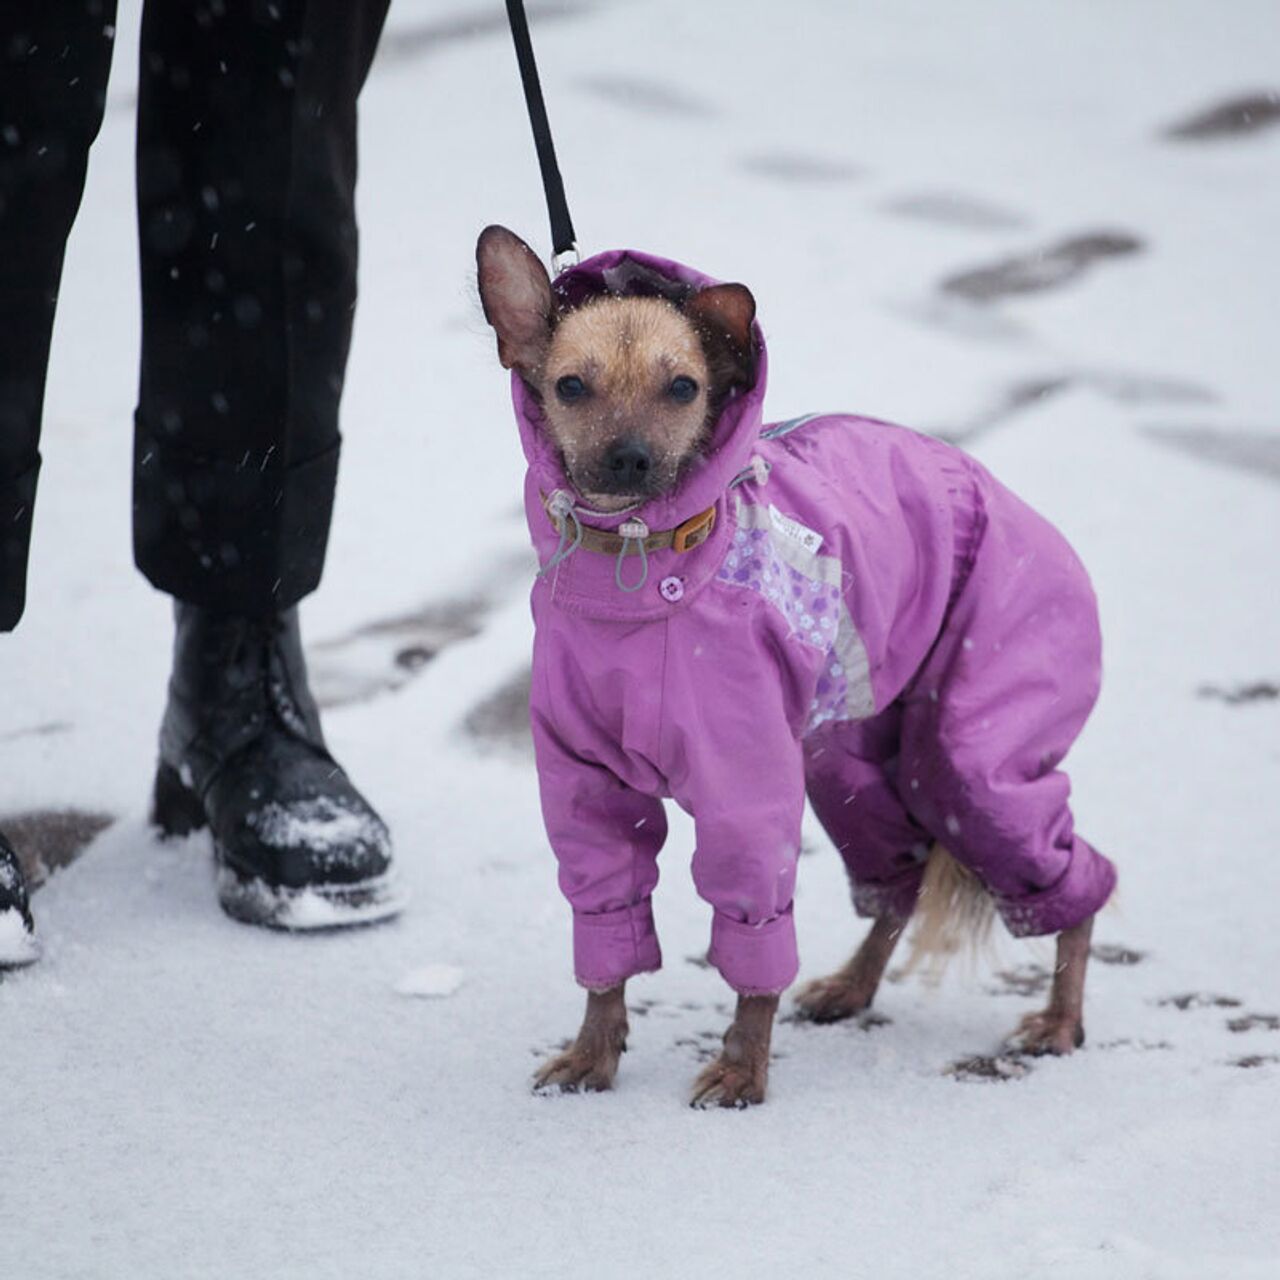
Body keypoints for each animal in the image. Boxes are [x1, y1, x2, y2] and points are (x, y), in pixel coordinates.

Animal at [476, 225, 1116, 1105]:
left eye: (683, 387)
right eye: (571, 385)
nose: (631, 459)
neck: (634, 578)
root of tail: (1022, 511)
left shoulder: (746, 793)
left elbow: (754, 933)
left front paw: (744, 1067)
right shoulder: (584, 788)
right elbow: (607, 927)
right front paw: (593, 1053)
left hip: (976, 763)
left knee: (1072, 883)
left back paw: (1059, 1019)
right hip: (851, 761)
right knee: (899, 882)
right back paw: (853, 985)